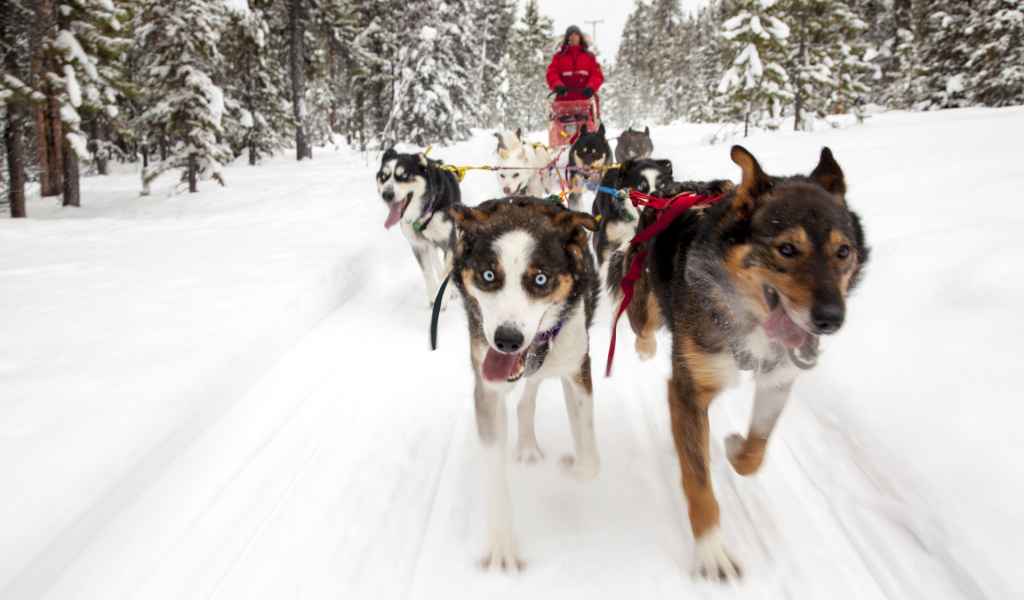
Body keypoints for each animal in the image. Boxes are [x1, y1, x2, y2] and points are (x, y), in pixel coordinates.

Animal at [448, 197, 598, 569]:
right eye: (488, 275)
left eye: (540, 279)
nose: (507, 340)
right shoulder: (487, 389)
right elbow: (495, 474)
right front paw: (501, 544)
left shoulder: (578, 369)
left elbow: (590, 458)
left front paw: (570, 467)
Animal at [614, 146, 864, 577]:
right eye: (786, 249)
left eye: (843, 251)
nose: (831, 319)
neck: (746, 317)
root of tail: (669, 192)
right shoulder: (688, 390)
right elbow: (699, 483)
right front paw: (711, 549)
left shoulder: (779, 380)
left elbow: (755, 452)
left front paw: (734, 448)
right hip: (643, 298)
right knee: (642, 324)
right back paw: (645, 347)